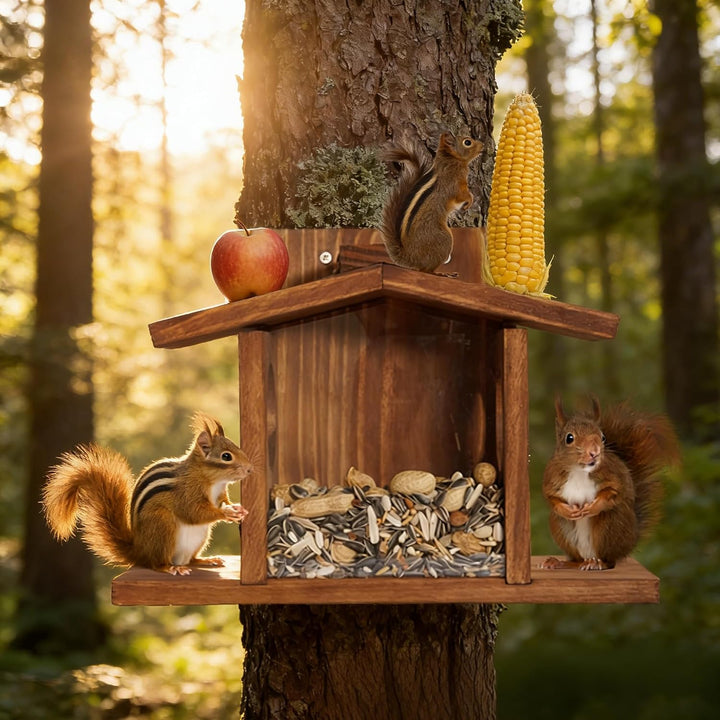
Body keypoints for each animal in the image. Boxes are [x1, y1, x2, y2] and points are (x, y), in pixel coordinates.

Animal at [42, 412, 252, 575]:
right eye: (226, 456)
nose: (250, 469)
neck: (214, 481)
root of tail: (140, 551)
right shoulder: (186, 492)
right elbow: (193, 512)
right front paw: (226, 512)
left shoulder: (220, 493)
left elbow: (223, 500)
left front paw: (237, 509)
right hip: (162, 525)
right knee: (156, 563)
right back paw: (170, 568)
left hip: (199, 537)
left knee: (190, 560)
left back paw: (206, 560)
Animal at [380, 132, 483, 273]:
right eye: (467, 142)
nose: (483, 145)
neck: (450, 160)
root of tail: (410, 257)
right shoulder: (456, 186)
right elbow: (462, 196)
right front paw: (469, 202)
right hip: (443, 239)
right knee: (426, 270)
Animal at [541, 396, 680, 571]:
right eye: (569, 438)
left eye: (603, 437)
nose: (594, 453)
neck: (580, 471)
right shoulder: (551, 479)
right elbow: (551, 498)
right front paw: (567, 510)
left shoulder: (614, 477)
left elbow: (614, 493)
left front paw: (592, 507)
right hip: (561, 528)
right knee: (576, 560)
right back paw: (559, 562)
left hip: (610, 527)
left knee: (609, 560)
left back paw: (597, 563)